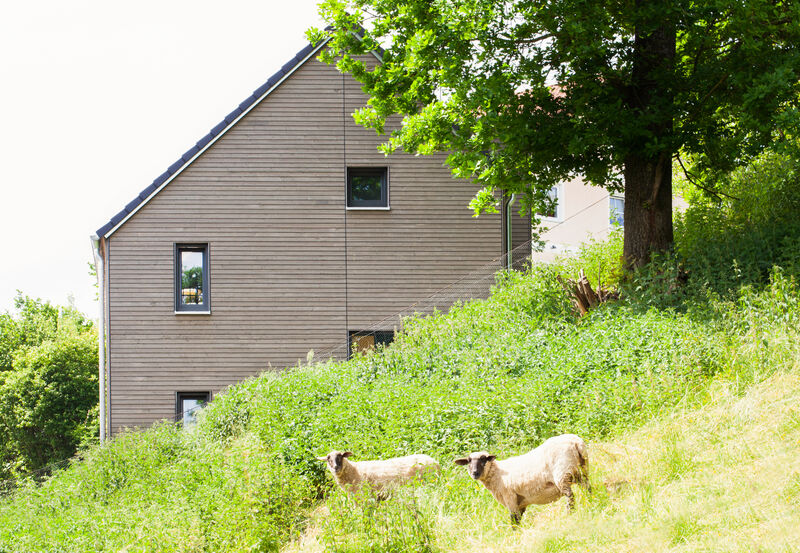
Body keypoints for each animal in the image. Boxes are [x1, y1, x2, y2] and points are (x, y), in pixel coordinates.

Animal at [456, 434, 588, 524]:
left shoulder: (510, 498)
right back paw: (590, 502)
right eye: (468, 461)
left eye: (484, 459)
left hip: (562, 474)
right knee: (587, 488)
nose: (474, 473)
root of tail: (576, 443)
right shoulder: (521, 503)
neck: (497, 473)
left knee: (570, 496)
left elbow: (514, 522)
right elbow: (518, 520)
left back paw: (570, 514)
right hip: (582, 469)